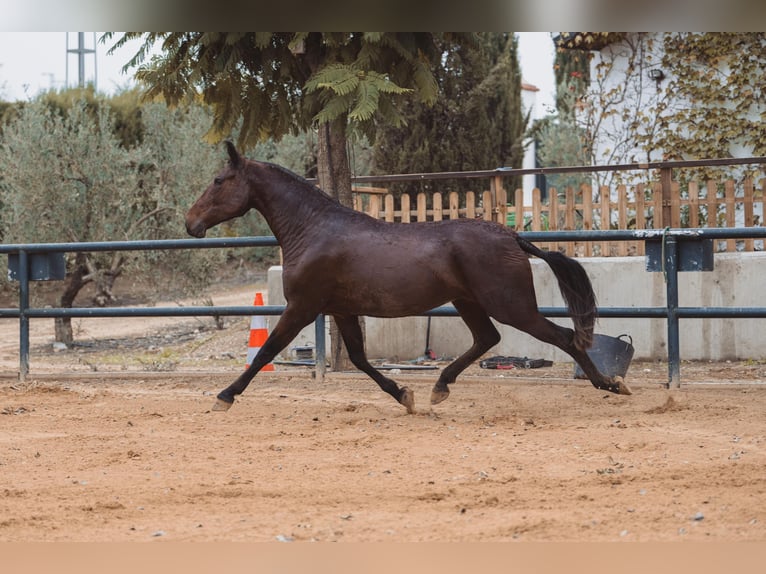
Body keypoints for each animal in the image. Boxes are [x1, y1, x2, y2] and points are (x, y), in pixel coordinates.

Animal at [186, 143, 632, 414]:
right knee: (487, 339)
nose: (191, 223)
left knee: (564, 337)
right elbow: (360, 359)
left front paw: (224, 396)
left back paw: (610, 385)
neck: (313, 230)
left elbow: (265, 352)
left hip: (511, 305)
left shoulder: (302, 307)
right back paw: (440, 387)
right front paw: (405, 395)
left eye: (219, 180)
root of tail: (512, 236)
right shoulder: (341, 310)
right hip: (469, 302)